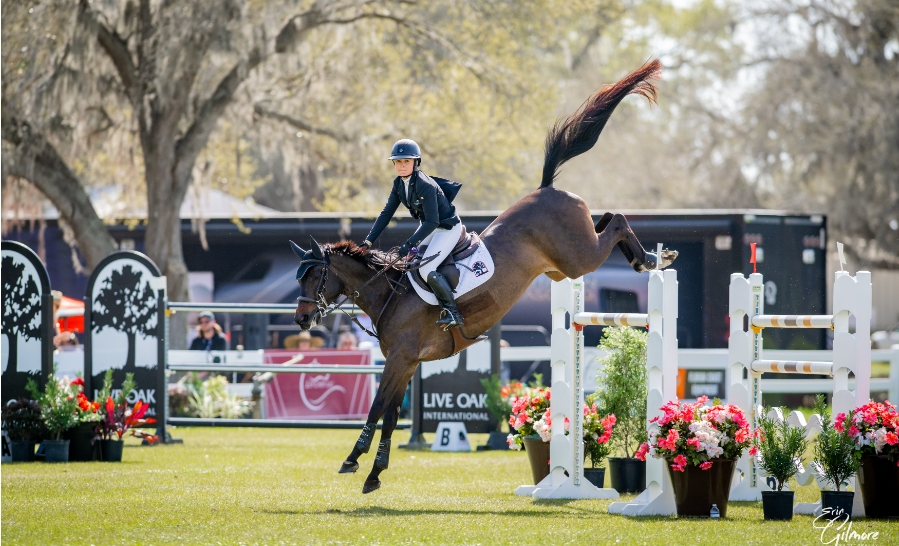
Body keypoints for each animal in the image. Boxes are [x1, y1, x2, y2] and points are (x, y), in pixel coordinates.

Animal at [291, 59, 676, 494]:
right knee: (608, 218)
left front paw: (354, 460)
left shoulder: (401, 360)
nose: (301, 319)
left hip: (580, 259)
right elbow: (389, 415)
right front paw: (374, 471)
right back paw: (647, 256)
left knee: (619, 220)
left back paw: (650, 260)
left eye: (315, 279)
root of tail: (546, 189)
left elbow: (377, 409)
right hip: (567, 262)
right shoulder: (404, 363)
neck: (388, 293)